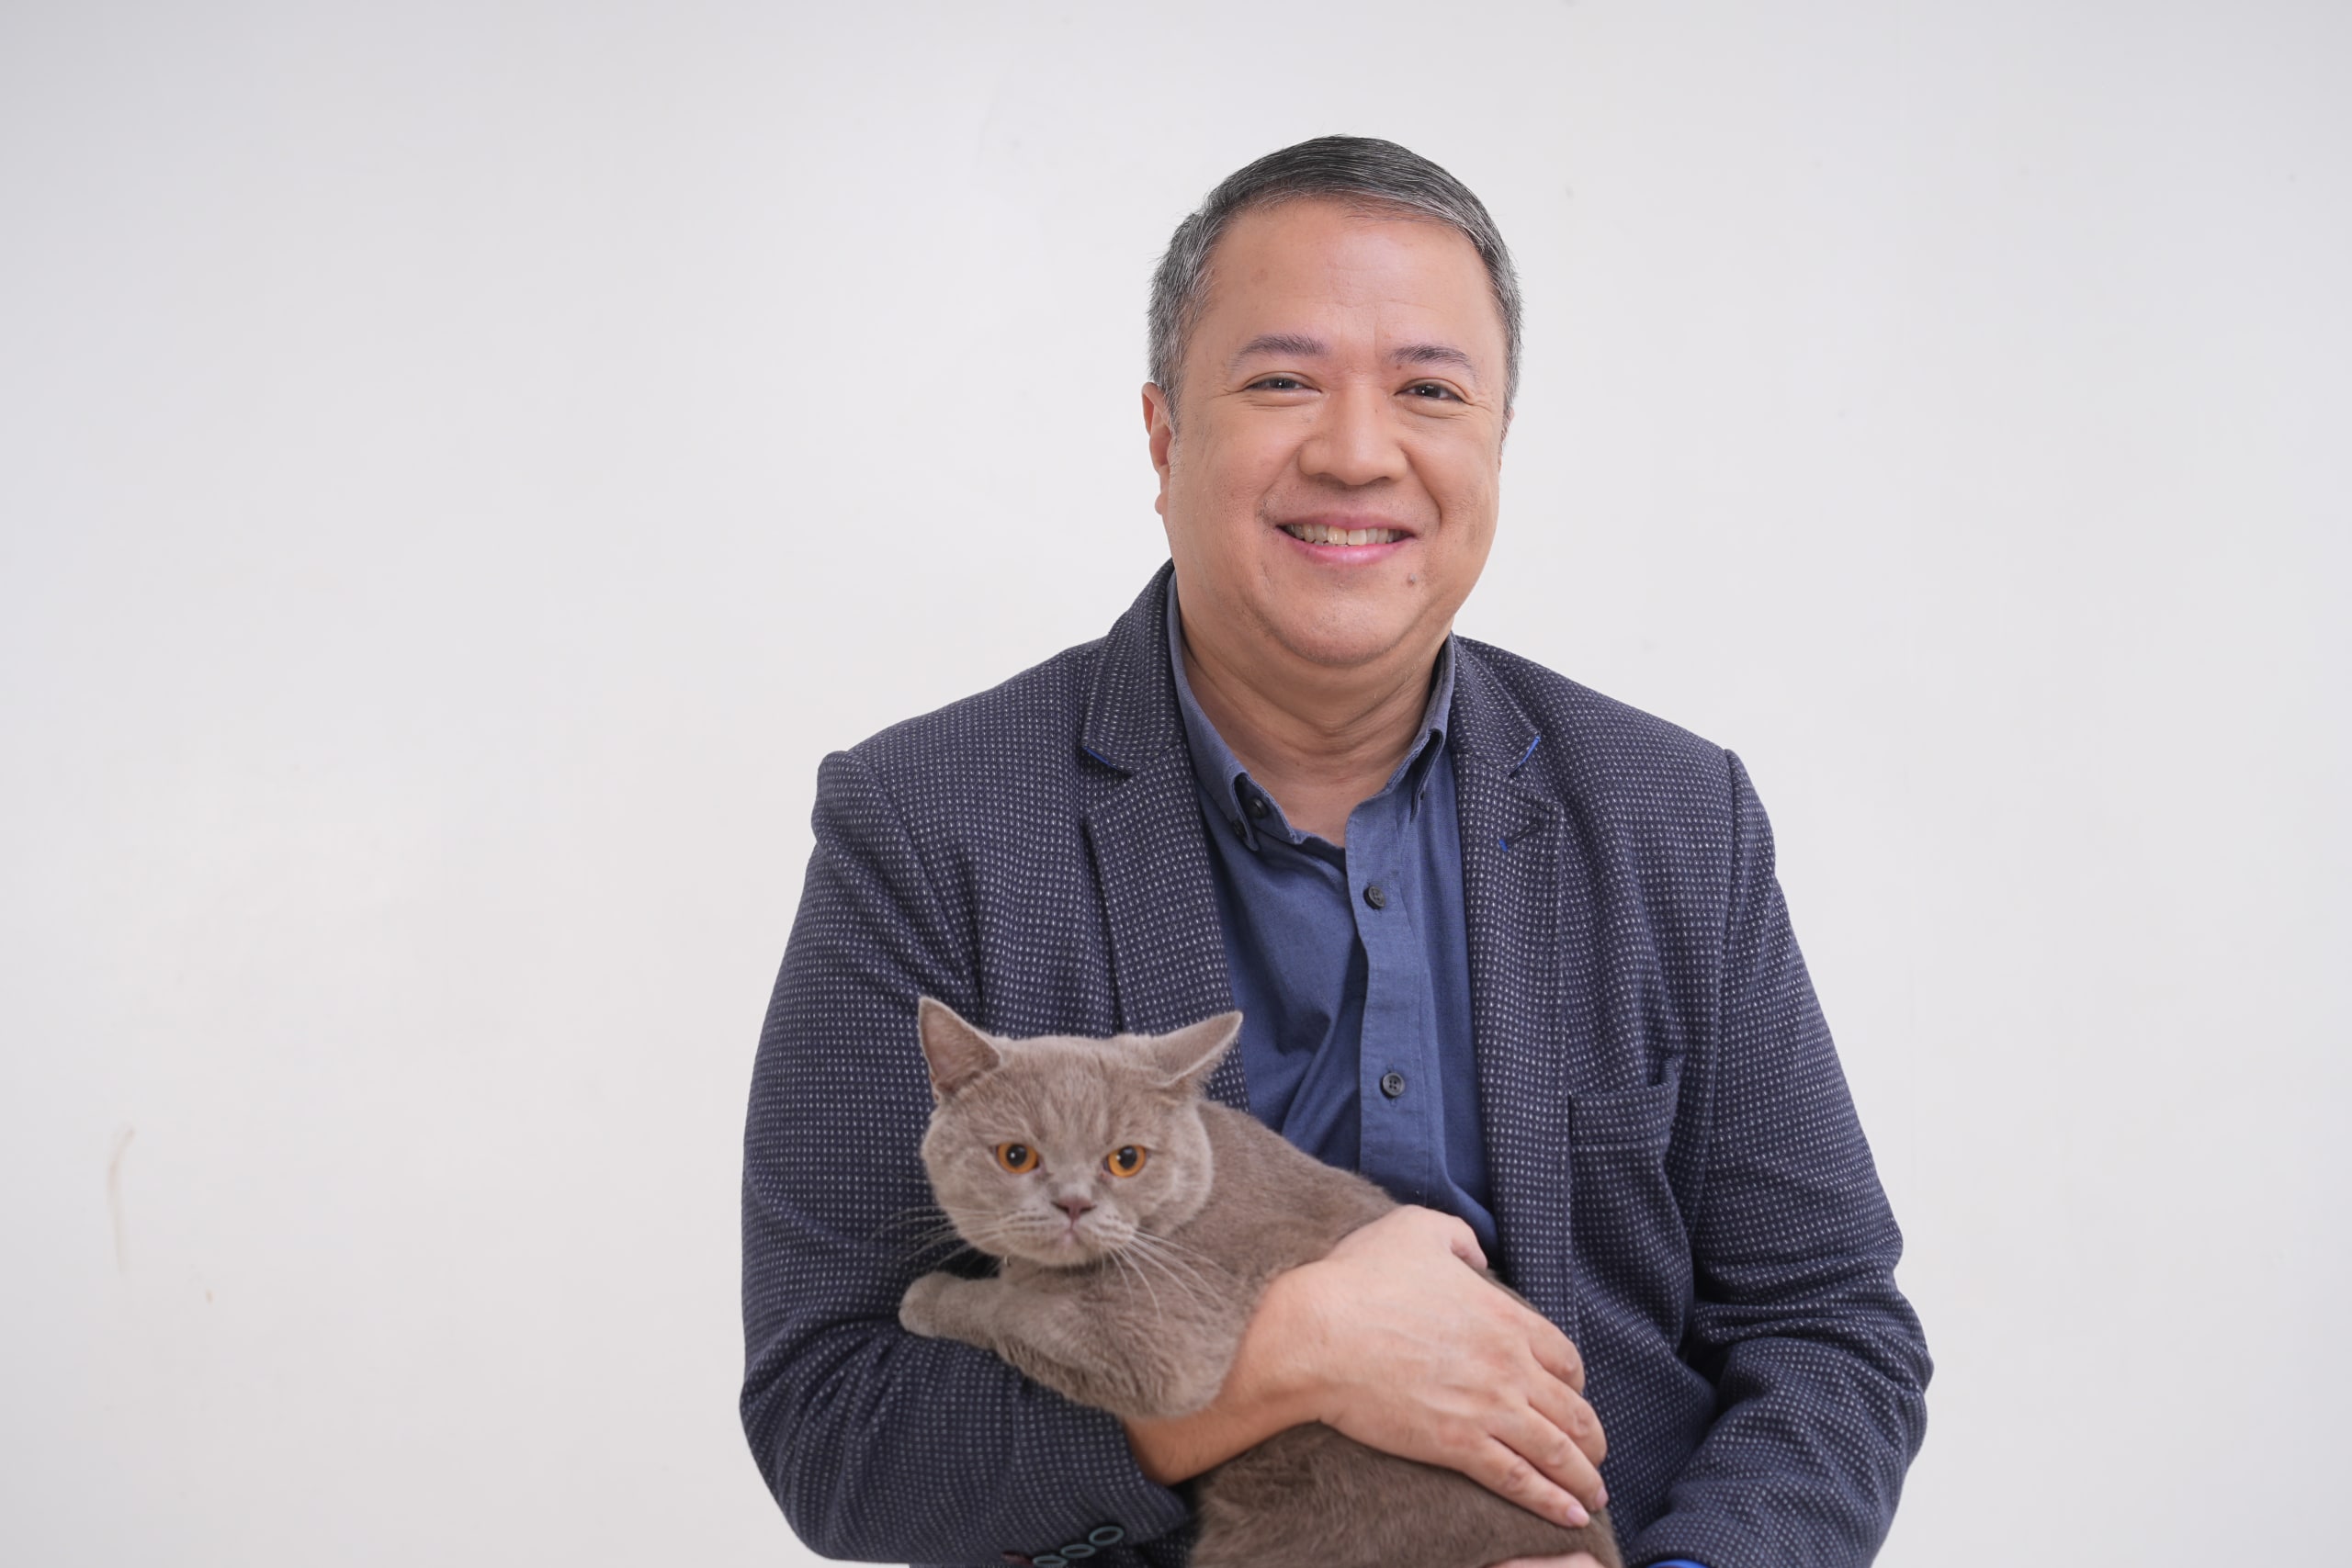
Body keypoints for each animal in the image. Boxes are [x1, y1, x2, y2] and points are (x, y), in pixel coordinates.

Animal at [897, 998, 1622, 1568]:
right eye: (1016, 1156)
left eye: (1125, 1159)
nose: (1073, 1204)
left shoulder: (1163, 1339)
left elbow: (1013, 1308)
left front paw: (928, 1297)